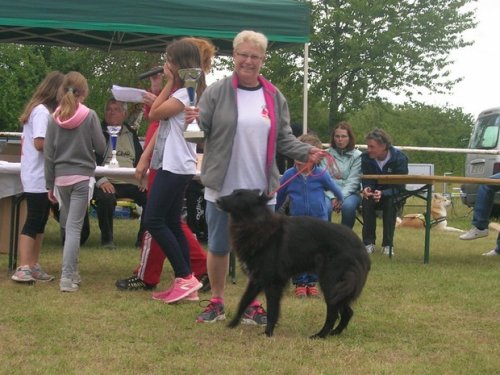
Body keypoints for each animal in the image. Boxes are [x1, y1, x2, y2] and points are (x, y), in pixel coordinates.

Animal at [219, 189, 372, 340]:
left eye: (239, 196)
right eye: (233, 192)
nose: (218, 200)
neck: (256, 223)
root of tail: (361, 248)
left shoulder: (272, 282)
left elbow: (272, 310)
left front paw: (268, 333)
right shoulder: (257, 279)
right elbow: (244, 301)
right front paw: (232, 324)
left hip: (330, 283)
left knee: (333, 312)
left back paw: (321, 335)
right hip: (339, 287)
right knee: (348, 312)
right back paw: (335, 332)